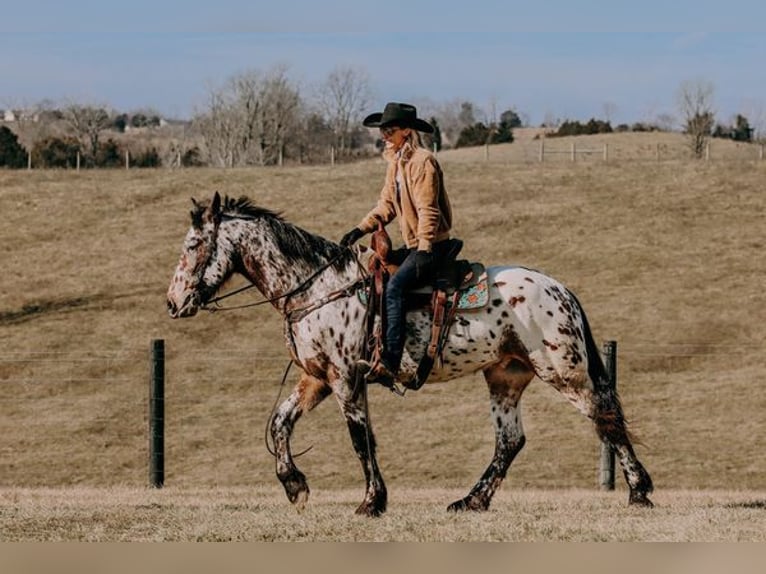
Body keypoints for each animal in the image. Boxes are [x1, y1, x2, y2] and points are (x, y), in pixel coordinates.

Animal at [166, 194, 656, 516]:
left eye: (193, 245)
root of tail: (560, 289)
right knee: (510, 441)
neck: (318, 287)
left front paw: (371, 502)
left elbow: (360, 439)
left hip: (564, 372)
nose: (173, 303)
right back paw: (471, 500)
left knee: (606, 418)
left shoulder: (345, 378)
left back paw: (639, 491)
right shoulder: (317, 378)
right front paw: (294, 485)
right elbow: (279, 423)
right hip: (506, 376)